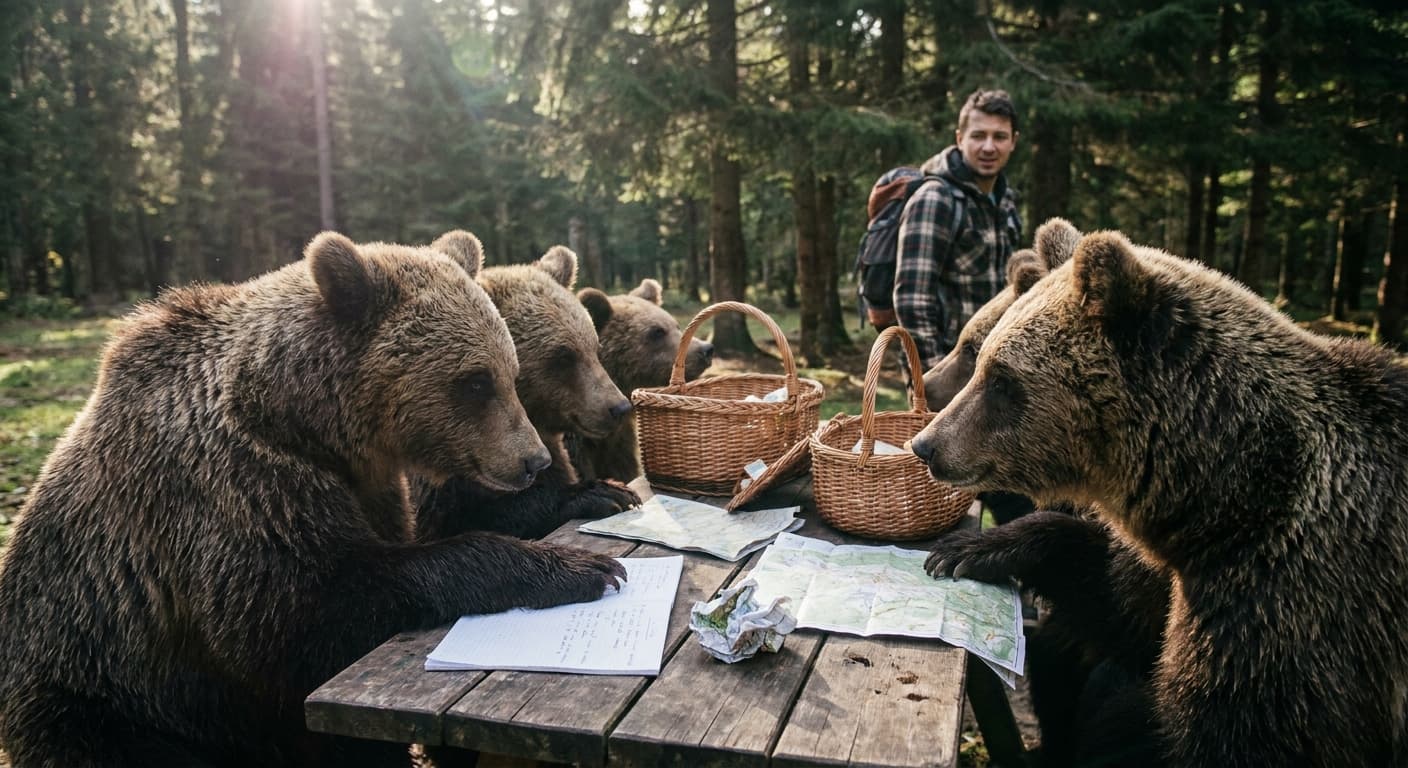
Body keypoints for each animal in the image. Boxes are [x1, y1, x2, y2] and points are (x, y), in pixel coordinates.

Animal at [912, 230, 1408, 767]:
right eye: (979, 354)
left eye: (998, 376)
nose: (927, 444)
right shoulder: (1175, 575)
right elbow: (1118, 603)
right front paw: (971, 550)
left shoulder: (1294, 604)